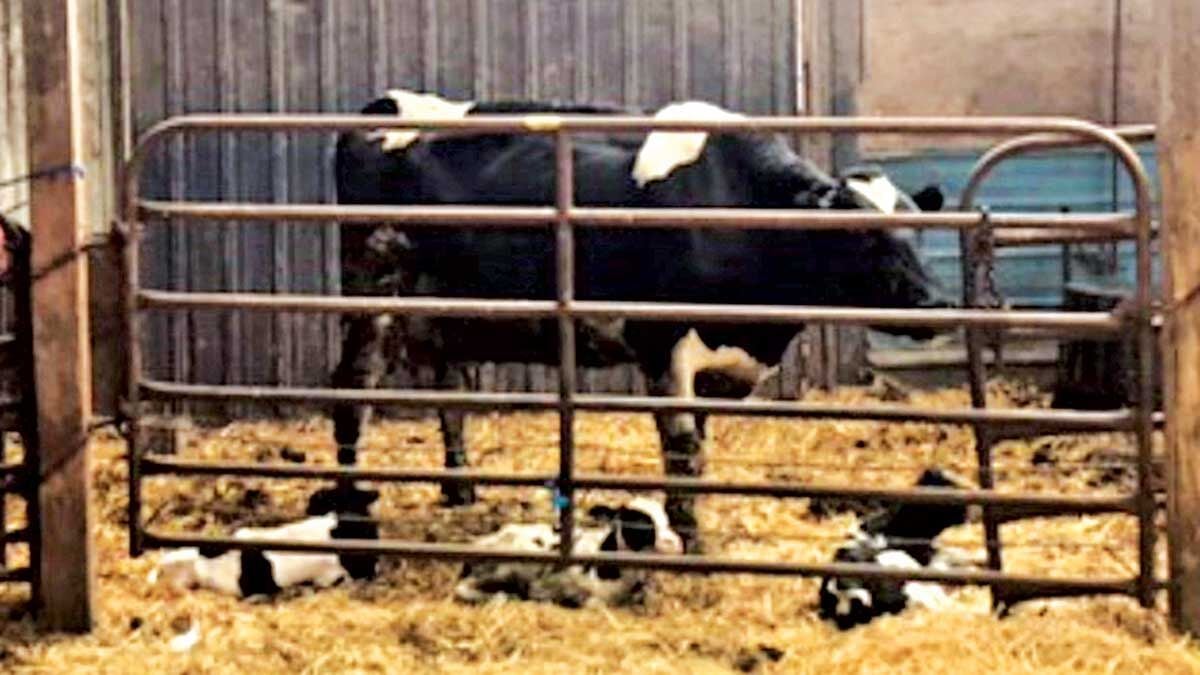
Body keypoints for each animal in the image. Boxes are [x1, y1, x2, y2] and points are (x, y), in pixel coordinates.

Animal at [330, 89, 949, 553]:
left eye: (918, 228)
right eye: (863, 237)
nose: (934, 305)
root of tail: (383, 105)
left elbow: (698, 450)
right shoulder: (663, 348)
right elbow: (682, 451)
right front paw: (694, 547)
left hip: (444, 311)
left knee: (451, 390)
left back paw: (461, 492)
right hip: (372, 290)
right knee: (353, 387)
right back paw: (351, 499)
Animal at [454, 496, 684, 608]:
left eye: (666, 517)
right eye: (637, 522)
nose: (675, 543)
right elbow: (594, 604)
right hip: (504, 569)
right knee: (463, 588)